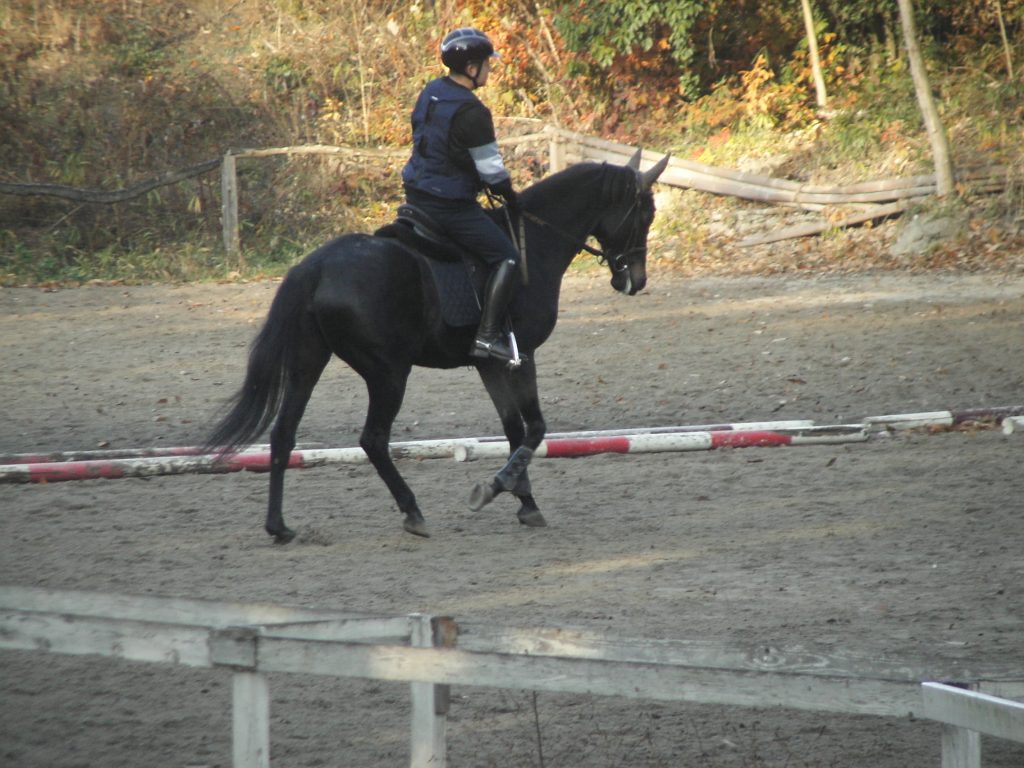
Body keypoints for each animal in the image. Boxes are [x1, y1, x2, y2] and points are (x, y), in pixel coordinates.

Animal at [205, 150, 670, 542]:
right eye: (645, 213)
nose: (635, 281)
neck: (534, 246)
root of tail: (316, 265)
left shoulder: (489, 364)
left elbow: (513, 428)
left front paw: (524, 501)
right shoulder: (521, 357)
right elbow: (535, 428)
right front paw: (498, 487)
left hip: (309, 362)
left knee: (283, 434)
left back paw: (279, 526)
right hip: (388, 372)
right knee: (373, 439)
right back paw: (412, 512)